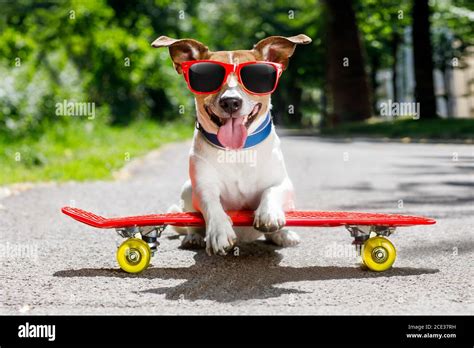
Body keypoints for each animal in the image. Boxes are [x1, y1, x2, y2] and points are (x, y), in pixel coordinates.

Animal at [152, 34, 312, 254]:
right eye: (207, 77)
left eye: (257, 77)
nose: (230, 102)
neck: (238, 151)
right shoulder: (203, 187)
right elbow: (211, 204)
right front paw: (219, 230)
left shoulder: (283, 183)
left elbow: (271, 190)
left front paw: (269, 213)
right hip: (187, 190)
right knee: (192, 224)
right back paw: (193, 238)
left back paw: (283, 234)